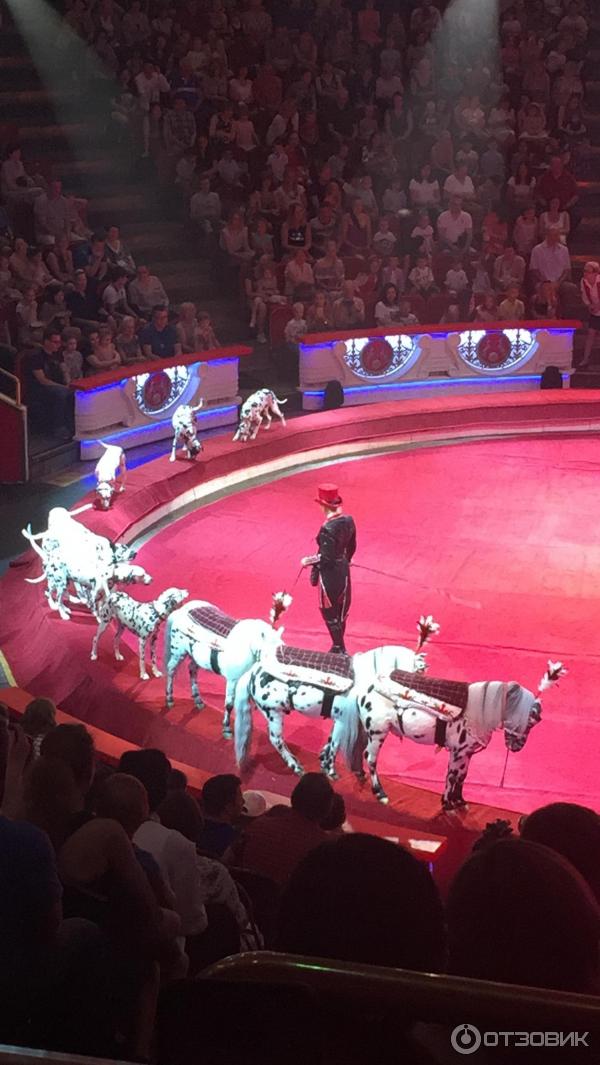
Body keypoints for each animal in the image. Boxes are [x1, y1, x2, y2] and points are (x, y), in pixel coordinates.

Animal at [164, 592, 292, 732]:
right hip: (178, 652)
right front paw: (226, 728)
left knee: (192, 670)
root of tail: (181, 610)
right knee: (171, 670)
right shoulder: (232, 680)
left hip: (195, 657)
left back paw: (198, 700)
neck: (248, 646)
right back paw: (169, 698)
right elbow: (229, 704)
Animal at [232, 617, 439, 783]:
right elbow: (336, 745)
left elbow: (332, 741)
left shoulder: (342, 721)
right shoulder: (344, 720)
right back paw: (296, 766)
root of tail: (253, 672)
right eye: (418, 672)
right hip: (274, 714)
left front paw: (325, 762)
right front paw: (331, 771)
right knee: (276, 740)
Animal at [353, 656, 566, 805]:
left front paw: (459, 800)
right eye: (527, 721)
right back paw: (380, 793)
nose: (517, 747)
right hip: (378, 733)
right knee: (370, 759)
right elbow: (452, 775)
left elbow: (463, 775)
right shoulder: (458, 751)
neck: (480, 710)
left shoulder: (467, 753)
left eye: (534, 723)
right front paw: (447, 802)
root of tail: (366, 688)